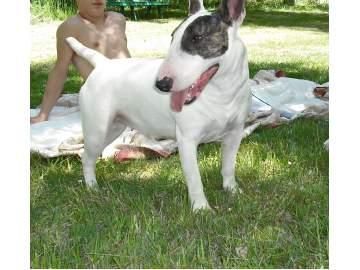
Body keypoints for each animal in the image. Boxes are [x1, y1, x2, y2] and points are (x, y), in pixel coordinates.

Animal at [65, 0, 250, 211]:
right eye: (172, 37)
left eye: (197, 37)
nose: (162, 84)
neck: (221, 93)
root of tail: (103, 64)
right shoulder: (187, 140)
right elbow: (194, 178)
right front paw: (201, 208)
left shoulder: (234, 134)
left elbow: (228, 165)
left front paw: (232, 190)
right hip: (97, 128)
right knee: (86, 156)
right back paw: (92, 186)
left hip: (113, 127)